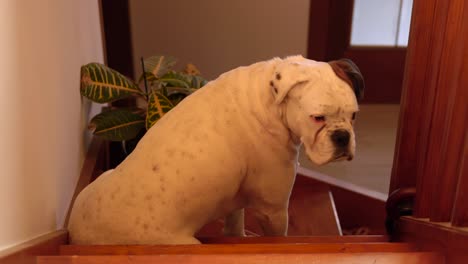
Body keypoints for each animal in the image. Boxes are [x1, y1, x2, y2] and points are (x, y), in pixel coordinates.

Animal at [67, 55, 364, 245]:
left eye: (353, 115)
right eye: (317, 118)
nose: (342, 137)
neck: (269, 100)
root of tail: (75, 234)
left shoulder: (236, 197)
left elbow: (234, 225)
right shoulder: (273, 209)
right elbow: (278, 237)